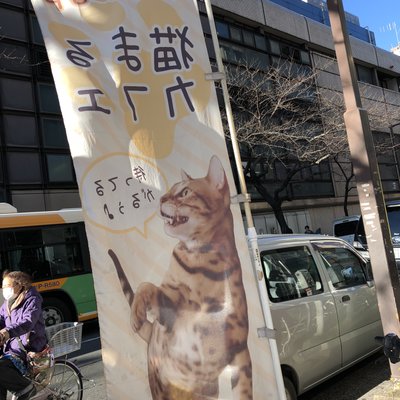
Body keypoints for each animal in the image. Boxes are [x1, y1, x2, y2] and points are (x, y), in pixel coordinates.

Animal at [108, 155, 253, 400]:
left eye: (184, 192)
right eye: (170, 190)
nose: (160, 198)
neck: (199, 254)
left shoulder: (239, 349)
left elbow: (244, 391)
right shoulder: (169, 311)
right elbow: (146, 286)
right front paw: (136, 315)